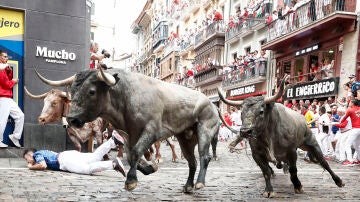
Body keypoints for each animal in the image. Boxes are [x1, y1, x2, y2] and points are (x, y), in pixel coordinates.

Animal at [34, 68, 219, 192]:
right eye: (72, 90)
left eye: (92, 91)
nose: (72, 119)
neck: (126, 96)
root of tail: (210, 102)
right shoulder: (129, 134)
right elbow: (131, 155)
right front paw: (149, 168)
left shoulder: (152, 130)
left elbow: (136, 152)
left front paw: (131, 180)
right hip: (185, 138)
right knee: (191, 161)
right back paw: (188, 186)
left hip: (205, 130)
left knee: (204, 156)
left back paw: (199, 183)